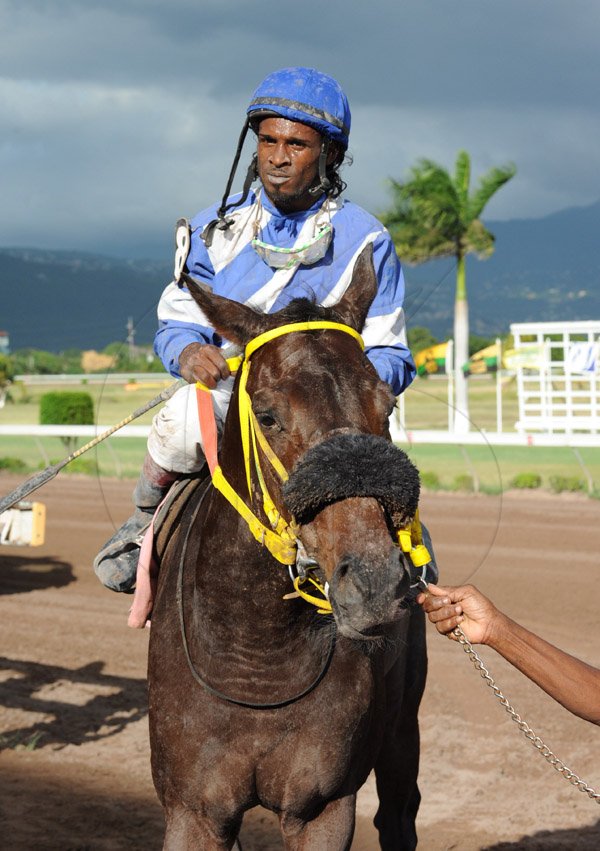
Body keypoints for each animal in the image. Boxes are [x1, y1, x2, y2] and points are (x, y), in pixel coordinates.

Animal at [148, 243, 428, 848]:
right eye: (270, 415)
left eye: (386, 407)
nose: (374, 584)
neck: (257, 656)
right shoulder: (192, 808)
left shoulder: (322, 805)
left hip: (403, 721)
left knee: (398, 811)